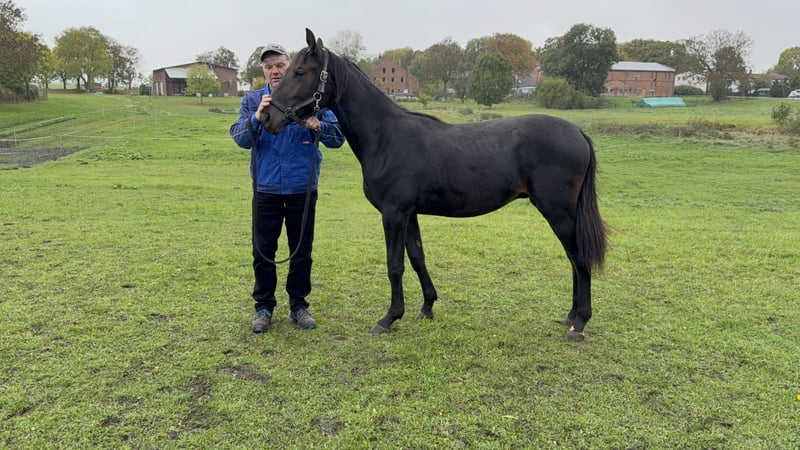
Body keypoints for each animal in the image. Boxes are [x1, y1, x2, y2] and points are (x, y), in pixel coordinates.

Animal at [263, 29, 608, 341]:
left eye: (299, 72)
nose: (267, 117)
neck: (386, 137)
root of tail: (577, 132)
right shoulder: (410, 214)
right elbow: (417, 258)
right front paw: (427, 307)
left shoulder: (394, 214)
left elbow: (395, 265)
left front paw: (388, 318)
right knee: (573, 259)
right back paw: (571, 317)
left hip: (558, 212)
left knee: (579, 259)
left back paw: (580, 324)